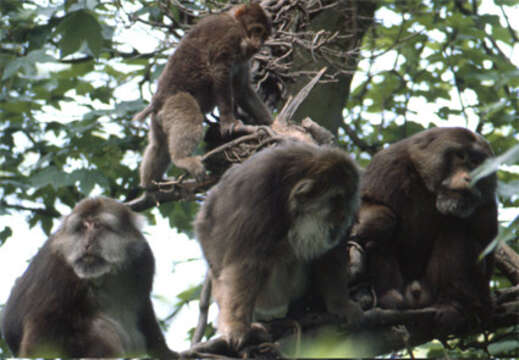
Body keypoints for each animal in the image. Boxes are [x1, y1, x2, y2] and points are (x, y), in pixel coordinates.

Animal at [0, 198, 177, 358]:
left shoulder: (143, 258)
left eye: (97, 226)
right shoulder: (58, 270)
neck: (107, 273)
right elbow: (41, 334)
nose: (86, 244)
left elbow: (143, 308)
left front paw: (165, 351)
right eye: (82, 227)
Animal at [134, 2, 272, 190]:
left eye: (264, 35)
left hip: (158, 120)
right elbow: (219, 71)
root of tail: (157, 103)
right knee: (188, 111)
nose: (258, 44)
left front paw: (273, 124)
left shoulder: (243, 60)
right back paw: (182, 159)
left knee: (158, 146)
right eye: (256, 30)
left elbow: (242, 89)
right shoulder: (229, 33)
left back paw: (150, 185)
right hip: (173, 103)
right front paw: (228, 121)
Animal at [193, 142, 364, 350]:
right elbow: (245, 262)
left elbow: (329, 254)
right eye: (335, 199)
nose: (344, 216)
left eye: (348, 200)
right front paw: (236, 326)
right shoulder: (257, 196)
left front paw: (340, 304)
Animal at [352, 126, 498, 330]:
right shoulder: (389, 165)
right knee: (380, 238)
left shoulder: (486, 202)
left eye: (476, 162)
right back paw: (389, 296)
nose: (470, 178)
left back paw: (451, 303)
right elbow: (366, 205)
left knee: (457, 230)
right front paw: (378, 222)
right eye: (460, 156)